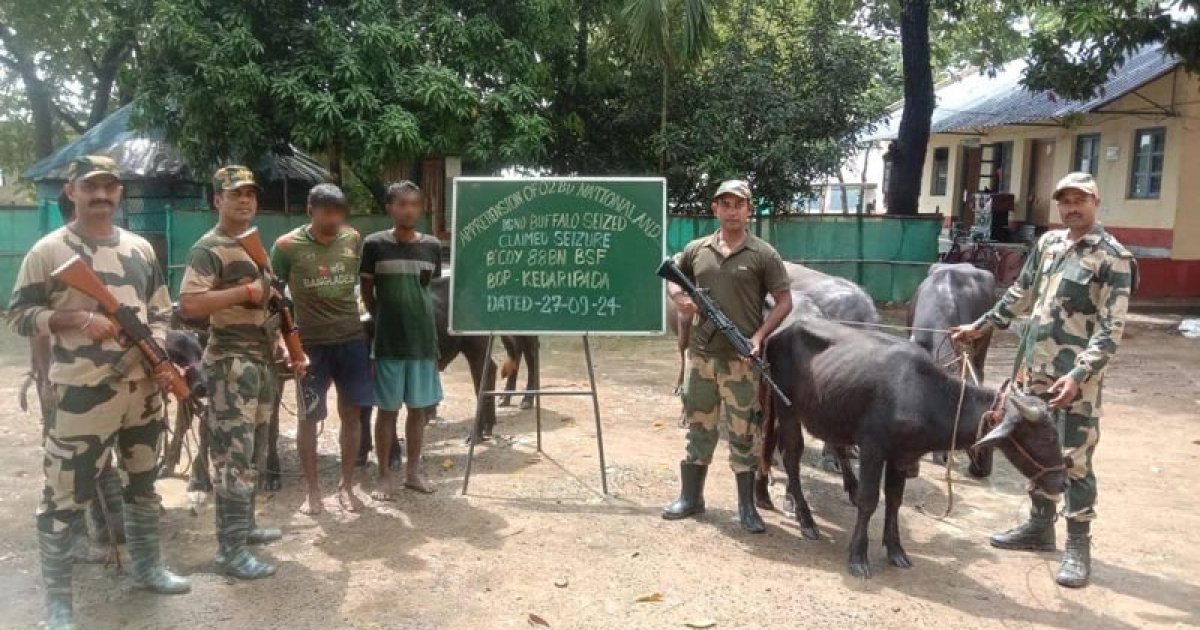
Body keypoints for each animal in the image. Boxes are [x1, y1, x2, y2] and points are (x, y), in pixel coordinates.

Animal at [763, 316, 1065, 578]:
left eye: (1056, 435)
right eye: (1047, 438)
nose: (1062, 484)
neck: (923, 395)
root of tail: (782, 332)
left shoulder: (901, 456)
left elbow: (894, 501)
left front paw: (896, 551)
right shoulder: (873, 449)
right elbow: (869, 501)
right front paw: (858, 556)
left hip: (829, 414)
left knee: (830, 448)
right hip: (787, 409)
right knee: (791, 457)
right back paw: (805, 518)